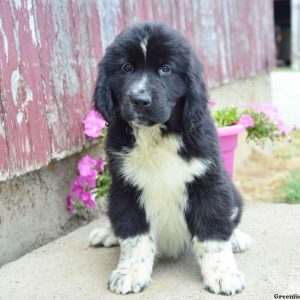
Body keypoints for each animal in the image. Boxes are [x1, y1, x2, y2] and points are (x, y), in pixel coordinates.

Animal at [89, 22, 251, 296]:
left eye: (166, 69)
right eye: (126, 68)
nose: (139, 100)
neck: (156, 135)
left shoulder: (208, 182)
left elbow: (213, 236)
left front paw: (222, 274)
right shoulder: (125, 188)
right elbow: (134, 236)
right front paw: (130, 272)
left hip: (231, 192)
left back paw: (237, 237)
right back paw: (107, 234)